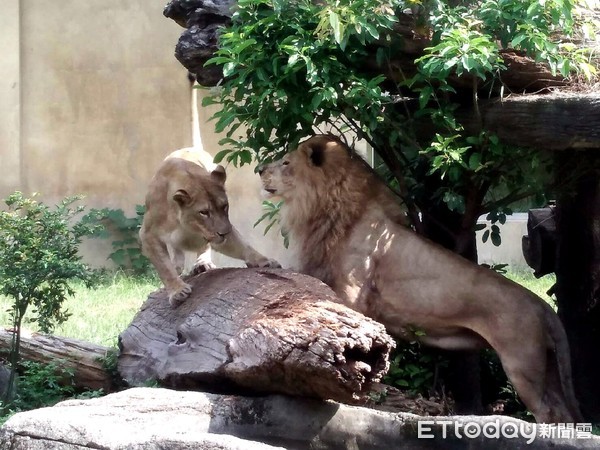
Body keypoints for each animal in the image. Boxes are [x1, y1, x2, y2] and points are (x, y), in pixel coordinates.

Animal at [141, 148, 282, 306]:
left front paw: (266, 261)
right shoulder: (148, 235)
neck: (187, 225)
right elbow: (165, 268)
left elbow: (243, 246)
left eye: (224, 206)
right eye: (204, 212)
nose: (224, 233)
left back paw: (202, 263)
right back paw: (178, 266)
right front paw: (178, 291)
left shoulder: (223, 230)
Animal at [260, 134, 584, 422]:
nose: (260, 170)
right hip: (547, 367)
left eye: (286, 162)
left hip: (523, 364)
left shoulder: (352, 295)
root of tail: (541, 305)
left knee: (549, 413)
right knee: (563, 413)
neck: (325, 210)